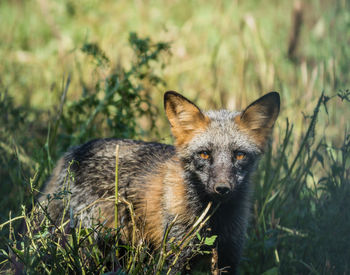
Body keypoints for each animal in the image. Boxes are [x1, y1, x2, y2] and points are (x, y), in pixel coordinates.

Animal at [39, 90, 278, 274]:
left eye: (239, 155)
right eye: (204, 154)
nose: (222, 188)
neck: (212, 220)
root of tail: (74, 152)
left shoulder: (228, 256)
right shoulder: (174, 256)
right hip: (89, 247)